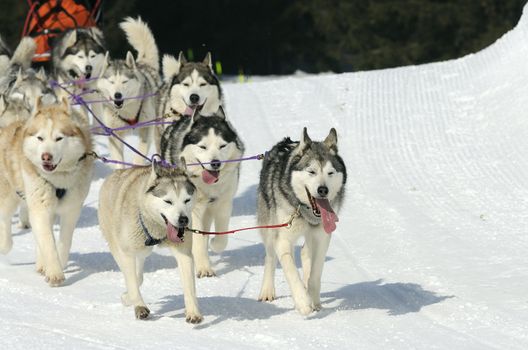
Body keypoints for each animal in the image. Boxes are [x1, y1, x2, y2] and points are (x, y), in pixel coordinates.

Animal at [0, 97, 93, 286]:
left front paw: (58, 263)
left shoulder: (71, 210)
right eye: (40, 138)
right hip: (9, 196)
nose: (46, 157)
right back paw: (6, 244)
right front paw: (55, 273)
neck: (58, 179)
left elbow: (64, 241)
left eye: (59, 138)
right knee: (5, 219)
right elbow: (48, 243)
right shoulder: (40, 207)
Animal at [97, 17, 162, 167]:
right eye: (111, 82)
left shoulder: (146, 130)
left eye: (124, 82)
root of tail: (143, 64)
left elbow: (139, 156)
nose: (117, 95)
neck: (128, 113)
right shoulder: (114, 135)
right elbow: (119, 160)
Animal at [160, 110, 244, 278]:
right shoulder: (194, 210)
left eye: (222, 145)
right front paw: (204, 267)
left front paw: (215, 244)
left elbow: (222, 236)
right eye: (203, 147)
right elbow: (198, 239)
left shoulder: (223, 203)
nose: (215, 163)